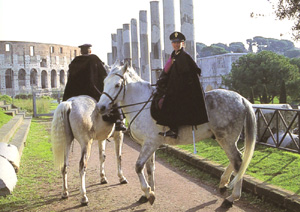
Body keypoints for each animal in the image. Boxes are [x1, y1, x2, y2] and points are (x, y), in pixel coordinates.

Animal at [97, 62, 256, 208]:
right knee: (237, 160)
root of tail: (241, 99)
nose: (100, 107)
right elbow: (149, 168)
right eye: (104, 82)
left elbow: (138, 166)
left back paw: (232, 197)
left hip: (226, 139)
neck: (142, 104)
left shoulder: (150, 143)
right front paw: (149, 193)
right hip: (225, 138)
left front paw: (148, 192)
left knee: (237, 162)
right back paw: (223, 184)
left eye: (117, 85)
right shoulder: (147, 144)